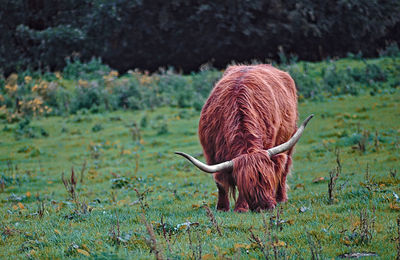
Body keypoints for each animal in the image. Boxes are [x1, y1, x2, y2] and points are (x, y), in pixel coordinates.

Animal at [176, 64, 312, 212]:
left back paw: (281, 198)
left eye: (268, 180)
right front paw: (222, 208)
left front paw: (240, 208)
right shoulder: (212, 155)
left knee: (283, 170)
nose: (267, 207)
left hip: (289, 140)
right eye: (249, 184)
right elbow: (220, 183)